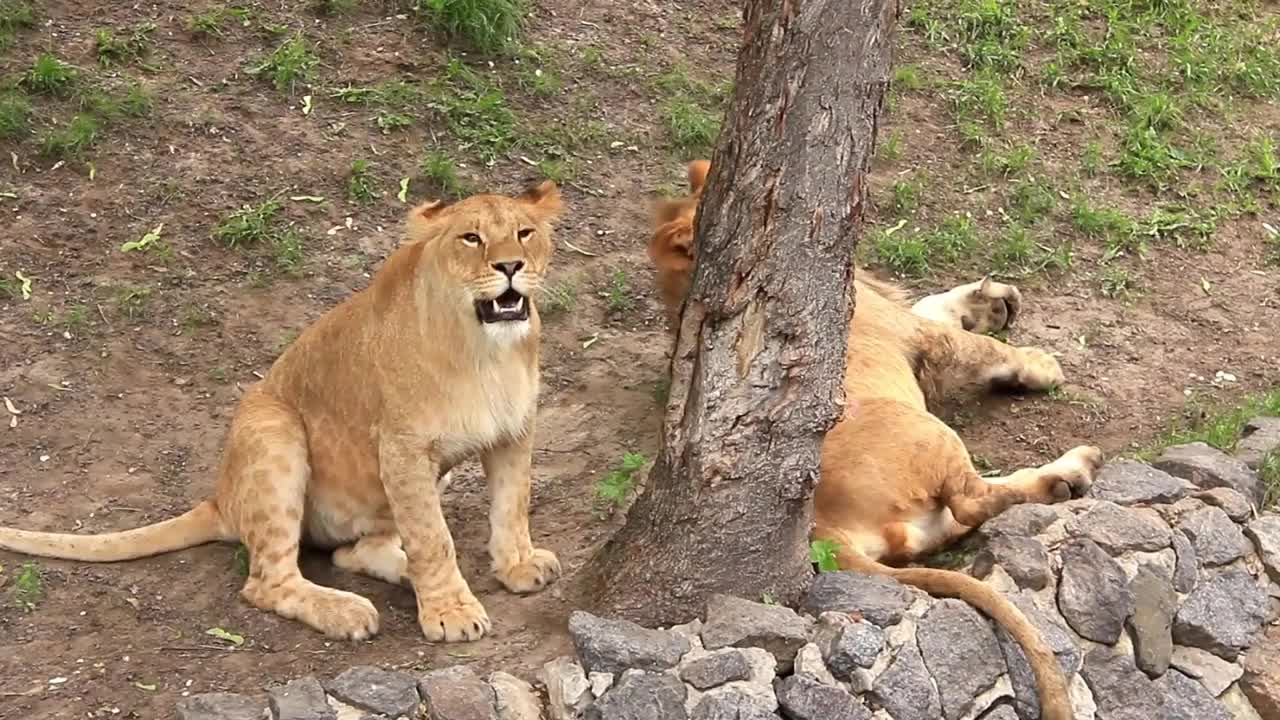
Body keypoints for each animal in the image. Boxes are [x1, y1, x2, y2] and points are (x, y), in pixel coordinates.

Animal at [0, 179, 565, 638]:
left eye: (524, 233)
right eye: (470, 238)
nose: (510, 267)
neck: (486, 350)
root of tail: (221, 500)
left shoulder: (514, 428)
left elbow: (512, 504)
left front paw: (517, 566)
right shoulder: (403, 448)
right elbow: (432, 537)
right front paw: (450, 613)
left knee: (352, 551)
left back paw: (401, 574)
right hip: (274, 430)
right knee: (267, 582)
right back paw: (348, 612)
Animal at [645, 159, 1105, 717]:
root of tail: (819, 528)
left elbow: (933, 302)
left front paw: (991, 301)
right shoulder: (921, 336)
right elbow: (977, 346)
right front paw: (1037, 362)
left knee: (958, 517)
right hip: (927, 430)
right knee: (973, 500)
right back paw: (1073, 468)